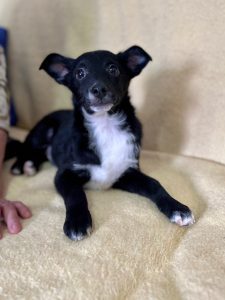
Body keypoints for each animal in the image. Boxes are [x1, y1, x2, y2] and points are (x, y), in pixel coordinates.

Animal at [10, 45, 193, 240]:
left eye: (113, 69)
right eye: (80, 73)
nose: (98, 89)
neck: (105, 125)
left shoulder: (126, 172)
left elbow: (154, 184)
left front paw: (177, 208)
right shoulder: (64, 174)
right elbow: (76, 195)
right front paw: (77, 222)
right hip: (42, 130)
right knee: (26, 149)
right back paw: (23, 165)